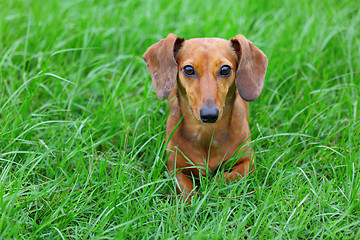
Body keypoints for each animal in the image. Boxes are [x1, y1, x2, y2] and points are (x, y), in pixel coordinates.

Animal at [142, 33, 266, 199]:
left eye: (225, 69)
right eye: (188, 69)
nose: (209, 114)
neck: (206, 134)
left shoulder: (248, 162)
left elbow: (227, 177)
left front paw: (212, 187)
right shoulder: (175, 168)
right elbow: (186, 190)